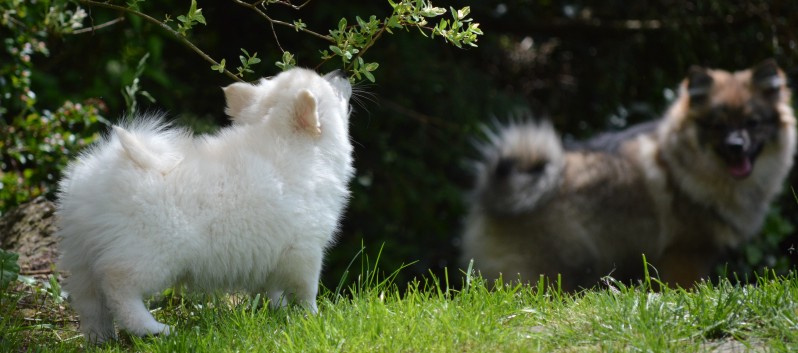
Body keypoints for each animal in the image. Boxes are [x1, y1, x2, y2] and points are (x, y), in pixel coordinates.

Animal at [56, 67, 354, 342]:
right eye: (329, 86)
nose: (341, 71)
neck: (301, 151)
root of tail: (104, 170)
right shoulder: (305, 250)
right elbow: (306, 290)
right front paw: (314, 318)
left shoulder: (272, 254)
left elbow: (273, 289)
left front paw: (279, 314)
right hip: (149, 254)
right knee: (118, 288)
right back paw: (154, 329)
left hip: (82, 256)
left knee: (90, 301)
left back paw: (100, 338)